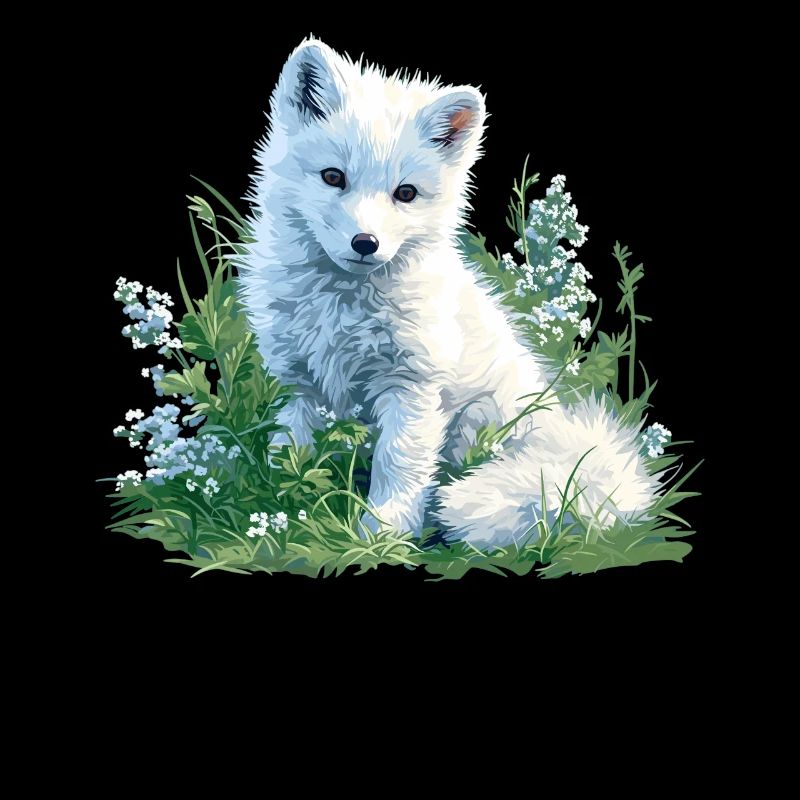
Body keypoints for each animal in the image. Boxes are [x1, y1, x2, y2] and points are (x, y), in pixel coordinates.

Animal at [238, 38, 660, 547]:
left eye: (405, 193)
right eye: (333, 177)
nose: (365, 243)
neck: (343, 309)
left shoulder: (413, 386)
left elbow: (398, 466)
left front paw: (382, 534)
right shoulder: (299, 383)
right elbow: (289, 450)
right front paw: (276, 511)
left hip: (482, 424)